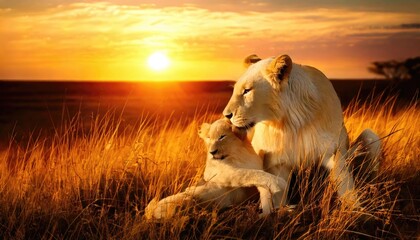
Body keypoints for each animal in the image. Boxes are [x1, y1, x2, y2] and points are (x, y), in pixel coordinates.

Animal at [146, 118, 288, 219]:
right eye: (209, 138)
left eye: (222, 137)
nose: (212, 152)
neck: (238, 155)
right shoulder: (223, 173)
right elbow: (249, 173)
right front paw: (280, 183)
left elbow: (263, 186)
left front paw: (267, 211)